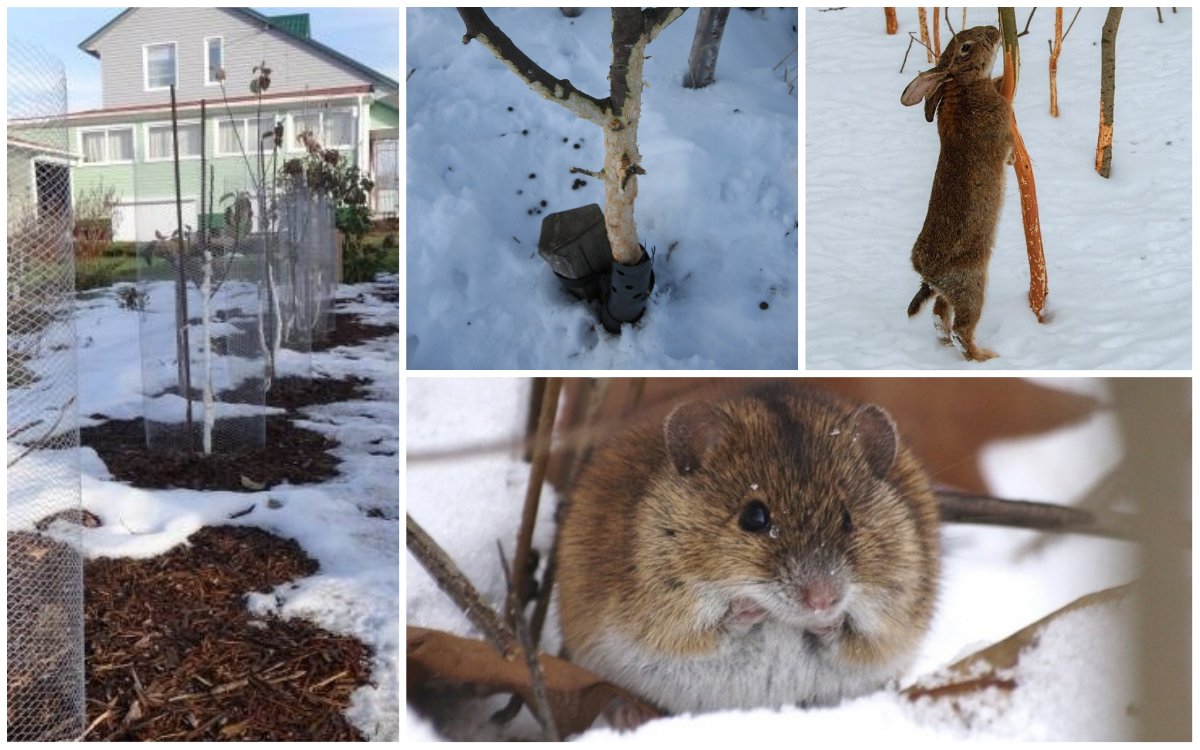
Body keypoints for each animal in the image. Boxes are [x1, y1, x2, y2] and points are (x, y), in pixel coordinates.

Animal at [902, 24, 1012, 357]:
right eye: (965, 47)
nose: (994, 29)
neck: (962, 84)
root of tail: (926, 272)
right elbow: (1009, 144)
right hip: (971, 283)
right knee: (962, 328)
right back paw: (985, 357)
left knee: (939, 313)